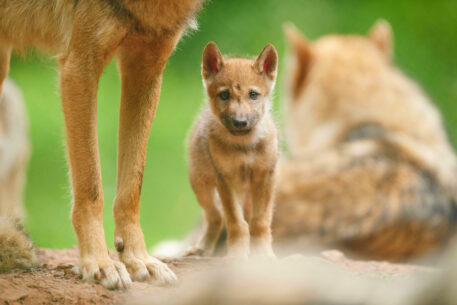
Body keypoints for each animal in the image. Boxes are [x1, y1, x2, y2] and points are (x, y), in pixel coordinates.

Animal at [0, 0, 203, 288]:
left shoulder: (147, 68)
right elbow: (91, 187)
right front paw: (97, 262)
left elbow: (132, 188)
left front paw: (137, 259)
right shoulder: (79, 68)